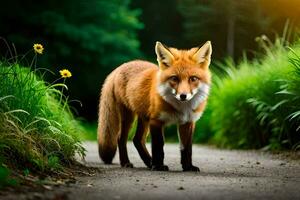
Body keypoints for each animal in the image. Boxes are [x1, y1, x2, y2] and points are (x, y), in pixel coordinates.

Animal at [97, 41, 212, 171]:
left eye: (193, 78)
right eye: (174, 78)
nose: (183, 96)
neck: (182, 109)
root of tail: (119, 67)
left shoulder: (187, 122)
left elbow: (187, 148)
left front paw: (188, 166)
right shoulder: (156, 121)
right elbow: (158, 146)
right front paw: (158, 166)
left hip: (144, 118)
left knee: (137, 140)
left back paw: (149, 162)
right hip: (129, 116)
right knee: (120, 138)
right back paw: (127, 162)